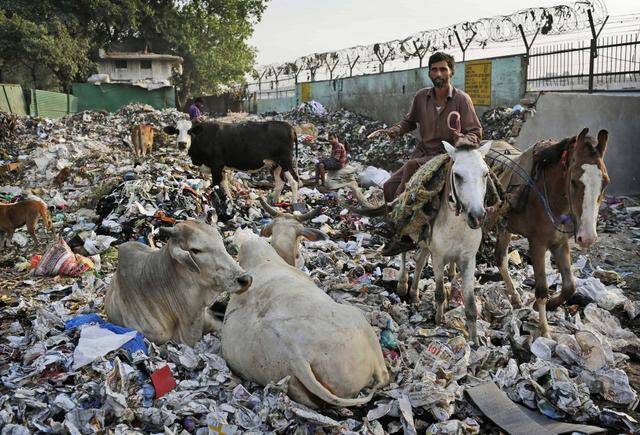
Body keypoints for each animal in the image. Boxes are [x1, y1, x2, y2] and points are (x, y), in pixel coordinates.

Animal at [162, 120, 298, 207]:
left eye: (190, 131)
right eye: (177, 131)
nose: (182, 144)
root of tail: (288, 126)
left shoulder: (216, 165)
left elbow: (215, 185)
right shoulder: (221, 168)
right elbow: (225, 186)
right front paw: (230, 203)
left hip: (285, 161)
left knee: (294, 181)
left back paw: (294, 204)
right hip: (276, 164)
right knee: (280, 182)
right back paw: (275, 203)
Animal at [496, 127, 608, 338]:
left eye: (605, 182)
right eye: (573, 181)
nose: (588, 237)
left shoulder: (560, 243)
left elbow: (570, 286)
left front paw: (550, 305)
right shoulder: (537, 244)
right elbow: (541, 289)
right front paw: (545, 330)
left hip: (505, 226)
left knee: (500, 260)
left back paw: (514, 297)